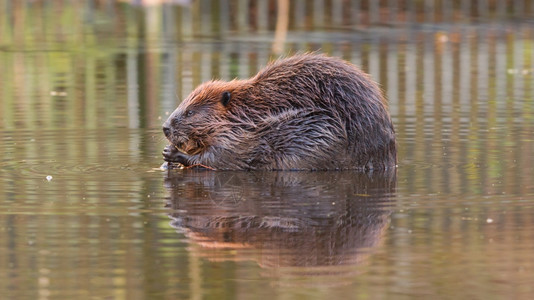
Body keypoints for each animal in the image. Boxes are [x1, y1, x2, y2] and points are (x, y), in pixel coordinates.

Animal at [163, 53, 398, 170]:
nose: (165, 128)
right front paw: (166, 159)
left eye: (190, 112)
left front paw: (173, 154)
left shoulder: (241, 138)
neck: (248, 113)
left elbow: (218, 158)